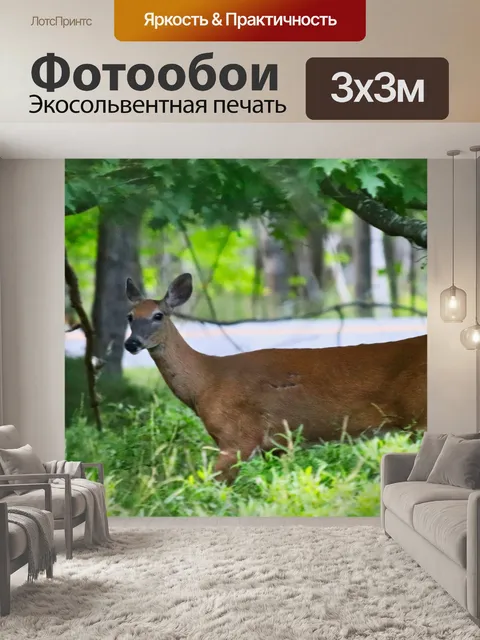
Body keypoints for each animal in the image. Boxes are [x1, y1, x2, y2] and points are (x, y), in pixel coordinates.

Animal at [124, 273, 427, 483]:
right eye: (129, 316)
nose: (131, 343)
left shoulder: (238, 437)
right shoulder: (275, 444)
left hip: (419, 416)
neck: (205, 383)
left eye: (158, 315)